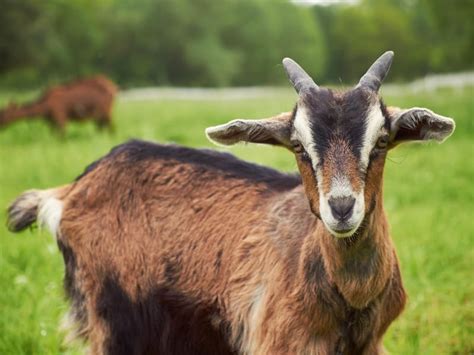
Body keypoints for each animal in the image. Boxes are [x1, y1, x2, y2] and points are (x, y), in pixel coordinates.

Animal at [5, 51, 454, 354]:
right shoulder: (277, 341)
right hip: (111, 318)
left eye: (382, 141)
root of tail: (70, 191)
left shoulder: (371, 343)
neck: (350, 298)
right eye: (298, 145)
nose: (341, 208)